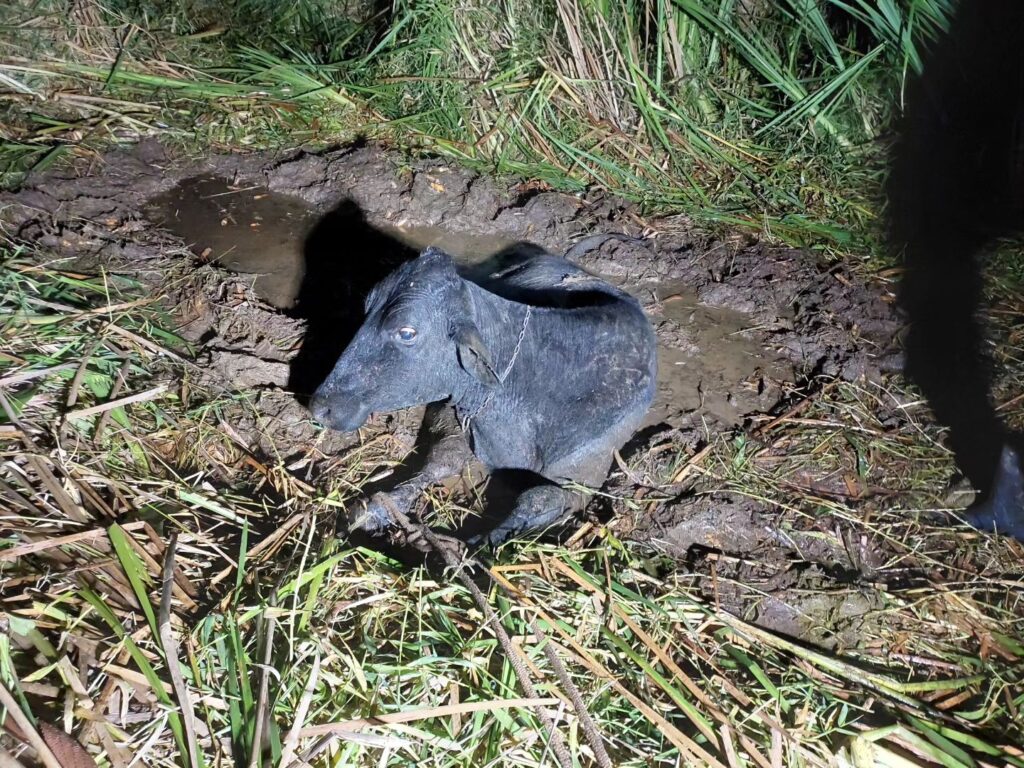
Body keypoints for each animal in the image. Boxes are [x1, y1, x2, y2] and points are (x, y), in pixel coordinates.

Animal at [309, 244, 658, 546]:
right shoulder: (456, 421)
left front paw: (478, 546)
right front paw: (376, 508)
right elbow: (439, 462)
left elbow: (537, 497)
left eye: (406, 333)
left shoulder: (584, 475)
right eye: (366, 308)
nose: (321, 407)